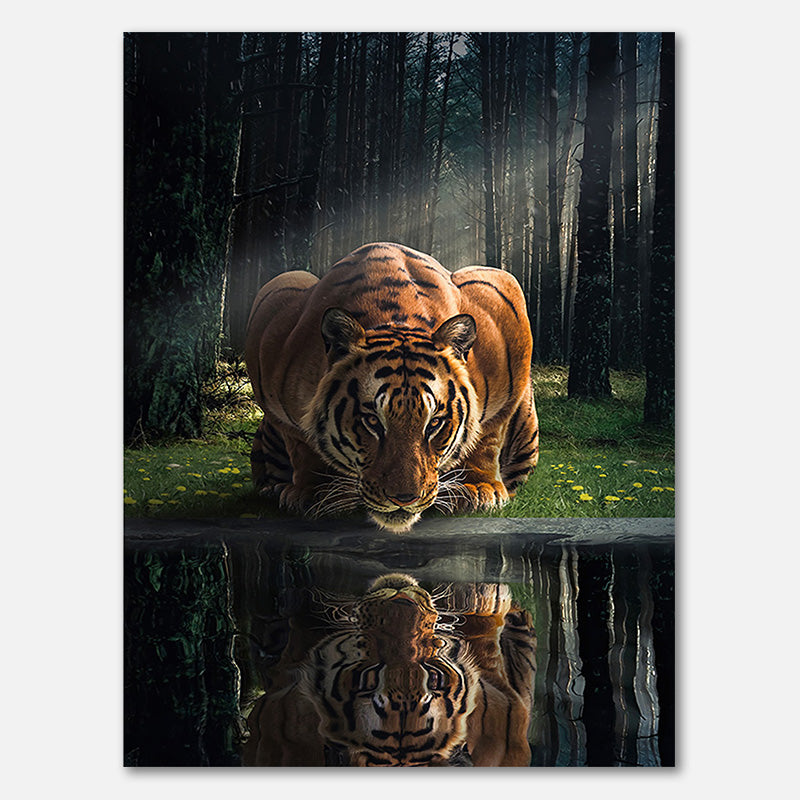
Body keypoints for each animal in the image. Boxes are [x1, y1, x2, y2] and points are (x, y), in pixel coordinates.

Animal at [244, 242, 539, 532]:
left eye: (434, 423)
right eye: (372, 421)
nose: (404, 499)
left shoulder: (503, 310)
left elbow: (487, 435)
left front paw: (477, 489)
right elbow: (302, 443)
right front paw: (317, 493)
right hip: (286, 280)